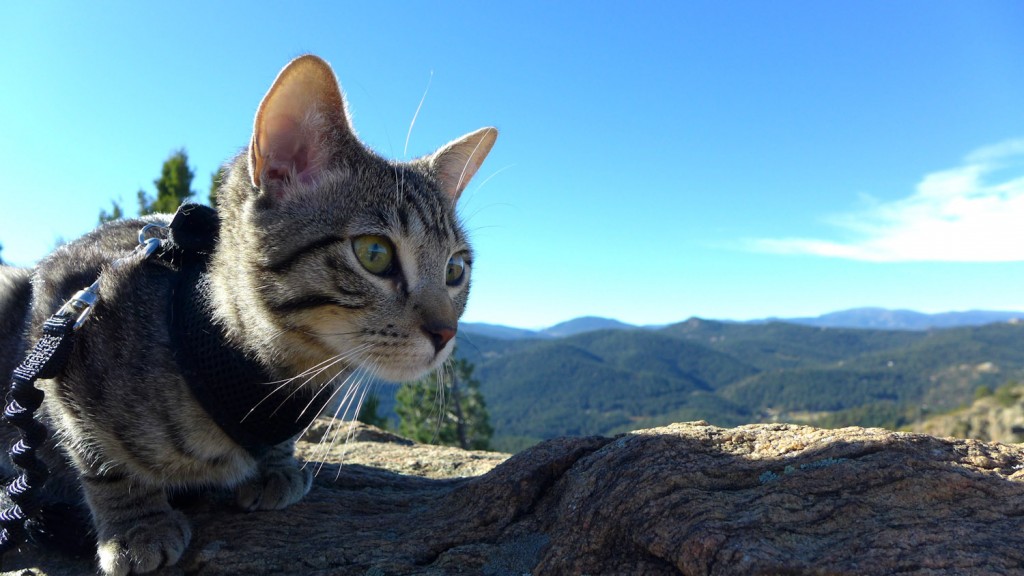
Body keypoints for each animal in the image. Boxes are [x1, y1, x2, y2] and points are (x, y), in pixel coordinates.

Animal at [0, 54, 495, 573]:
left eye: (455, 269)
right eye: (374, 254)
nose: (446, 333)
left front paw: (277, 465)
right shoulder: (63, 316)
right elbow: (98, 456)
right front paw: (137, 524)